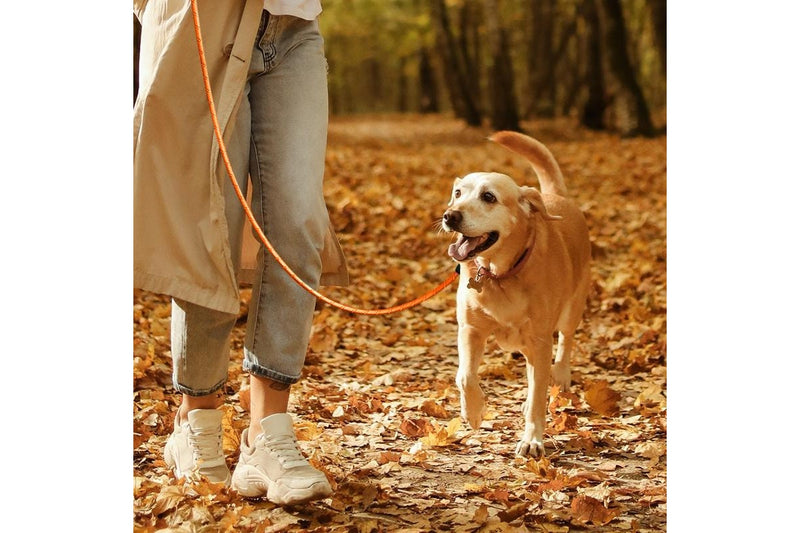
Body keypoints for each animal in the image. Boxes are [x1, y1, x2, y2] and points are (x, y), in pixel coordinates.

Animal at [440, 130, 592, 458]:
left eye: (488, 197)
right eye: (458, 193)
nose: (450, 216)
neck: (499, 274)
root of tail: (555, 196)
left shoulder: (540, 340)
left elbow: (537, 395)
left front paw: (533, 439)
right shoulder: (470, 330)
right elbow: (465, 376)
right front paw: (473, 411)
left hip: (571, 308)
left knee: (565, 342)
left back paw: (560, 375)